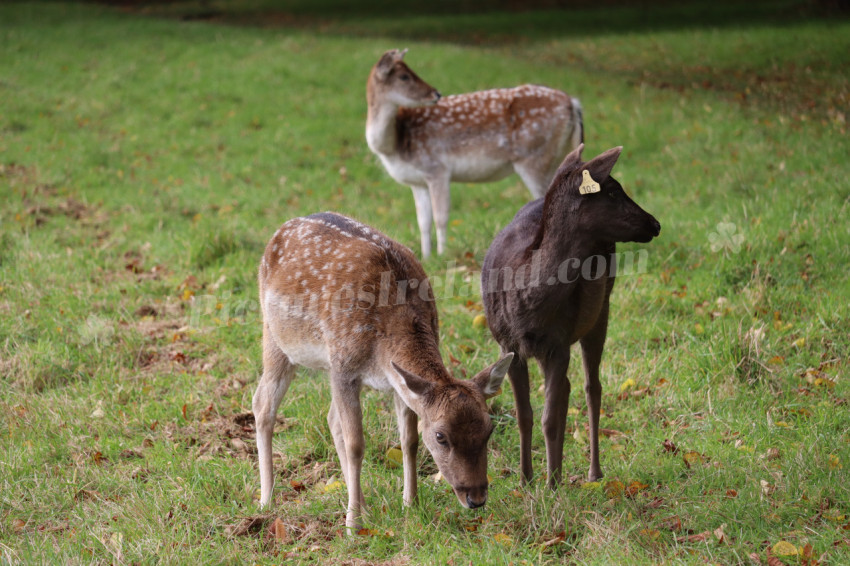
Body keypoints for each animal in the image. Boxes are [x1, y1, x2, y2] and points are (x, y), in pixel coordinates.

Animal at [253, 212, 510, 532]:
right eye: (441, 436)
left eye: (490, 429)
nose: (476, 498)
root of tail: (280, 230)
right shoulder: (343, 367)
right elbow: (356, 444)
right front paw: (352, 525)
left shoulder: (398, 381)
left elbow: (409, 441)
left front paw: (410, 505)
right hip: (275, 336)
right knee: (263, 404)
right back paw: (267, 501)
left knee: (331, 419)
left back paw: (362, 503)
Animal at [364, 48, 584, 260]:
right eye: (404, 76)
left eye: (409, 72)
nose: (436, 93)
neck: (395, 144)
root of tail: (573, 103)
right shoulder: (416, 181)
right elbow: (423, 221)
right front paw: (426, 257)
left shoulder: (437, 169)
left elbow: (441, 216)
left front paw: (442, 254)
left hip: (534, 157)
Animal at [480, 148, 660, 492]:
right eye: (613, 191)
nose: (655, 223)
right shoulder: (508, 345)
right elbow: (525, 414)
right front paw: (526, 480)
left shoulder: (559, 343)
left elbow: (550, 418)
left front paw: (551, 485)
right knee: (566, 388)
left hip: (601, 309)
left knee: (591, 387)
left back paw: (593, 472)